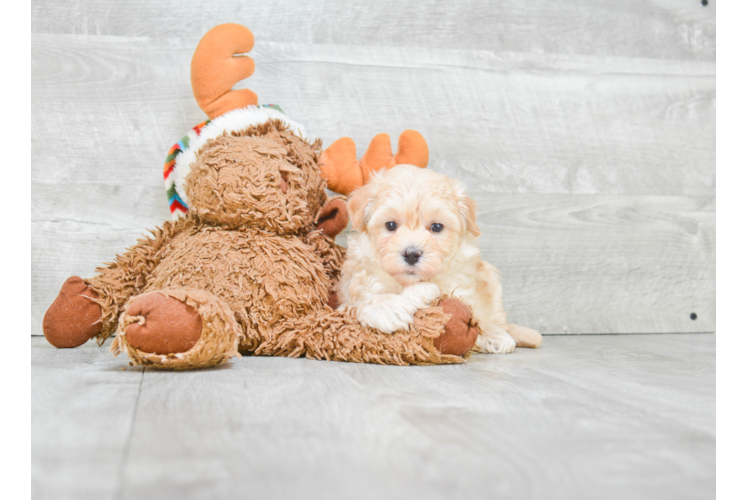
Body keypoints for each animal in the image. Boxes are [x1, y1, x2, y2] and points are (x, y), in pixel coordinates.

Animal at [336, 166, 540, 354]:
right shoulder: (355, 283)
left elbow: (468, 311)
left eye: (436, 227)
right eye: (391, 225)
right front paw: (387, 308)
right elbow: (366, 297)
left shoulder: (460, 286)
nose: (412, 253)